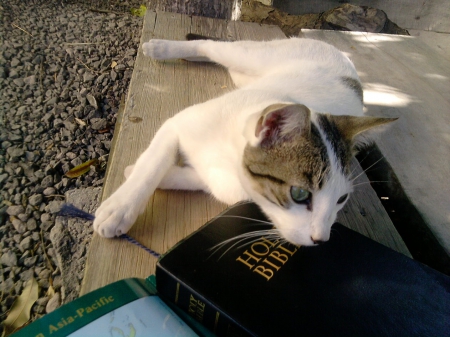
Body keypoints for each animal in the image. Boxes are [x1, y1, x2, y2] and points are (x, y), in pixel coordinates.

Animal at [93, 36, 396, 244]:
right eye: (299, 195)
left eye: (341, 199)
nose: (321, 240)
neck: (229, 155)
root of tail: (346, 60)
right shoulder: (177, 124)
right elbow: (151, 166)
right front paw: (120, 208)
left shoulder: (221, 183)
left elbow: (190, 178)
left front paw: (139, 172)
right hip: (253, 56)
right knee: (213, 45)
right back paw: (162, 48)